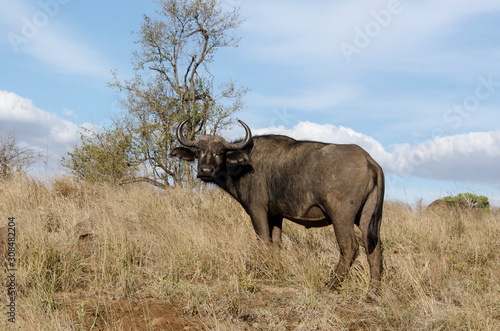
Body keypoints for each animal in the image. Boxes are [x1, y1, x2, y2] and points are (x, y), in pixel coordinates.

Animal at [173, 119, 386, 296]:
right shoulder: (276, 215)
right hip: (367, 218)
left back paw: (331, 284)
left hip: (341, 217)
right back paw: (373, 291)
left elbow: (264, 240)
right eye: (199, 151)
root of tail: (369, 160)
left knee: (350, 247)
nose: (205, 171)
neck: (243, 165)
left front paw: (262, 269)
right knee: (374, 248)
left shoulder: (257, 210)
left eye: (220, 153)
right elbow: (276, 243)